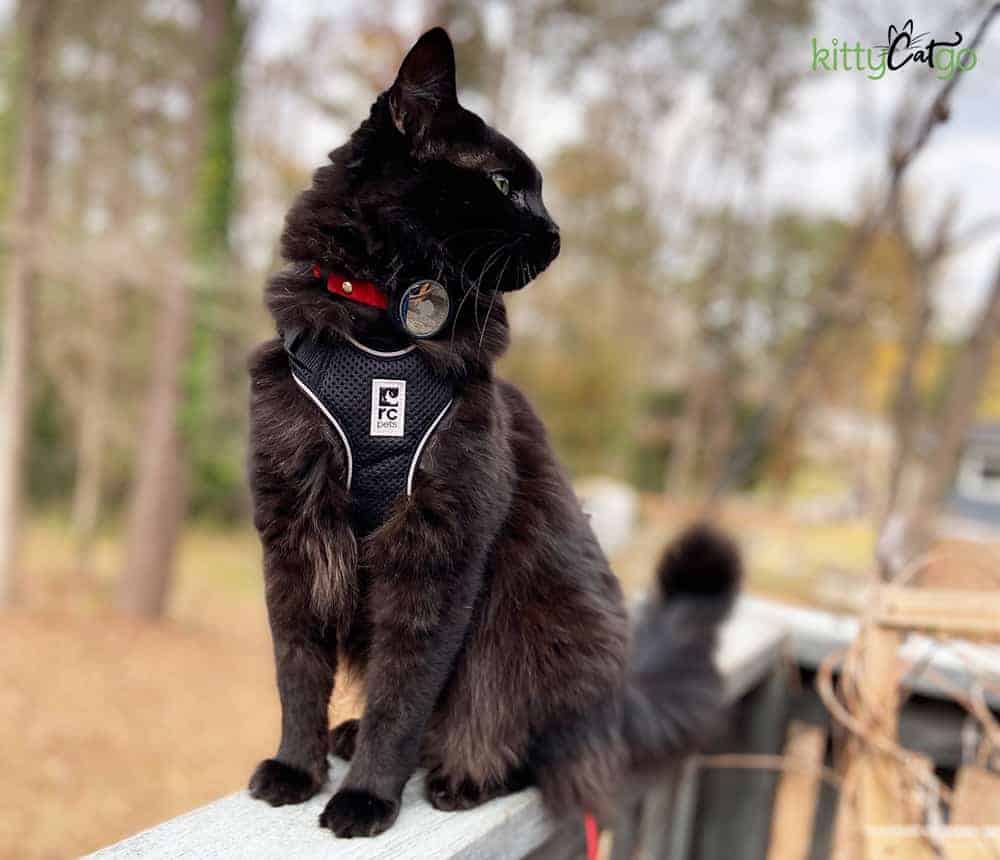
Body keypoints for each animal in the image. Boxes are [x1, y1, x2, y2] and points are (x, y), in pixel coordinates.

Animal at [246, 28, 740, 840]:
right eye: (507, 186)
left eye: (536, 190)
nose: (557, 234)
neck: (383, 336)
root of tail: (619, 701)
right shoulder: (291, 528)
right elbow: (297, 670)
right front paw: (297, 767)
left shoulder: (441, 547)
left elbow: (403, 696)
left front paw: (367, 797)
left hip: (532, 635)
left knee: (524, 746)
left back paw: (461, 778)